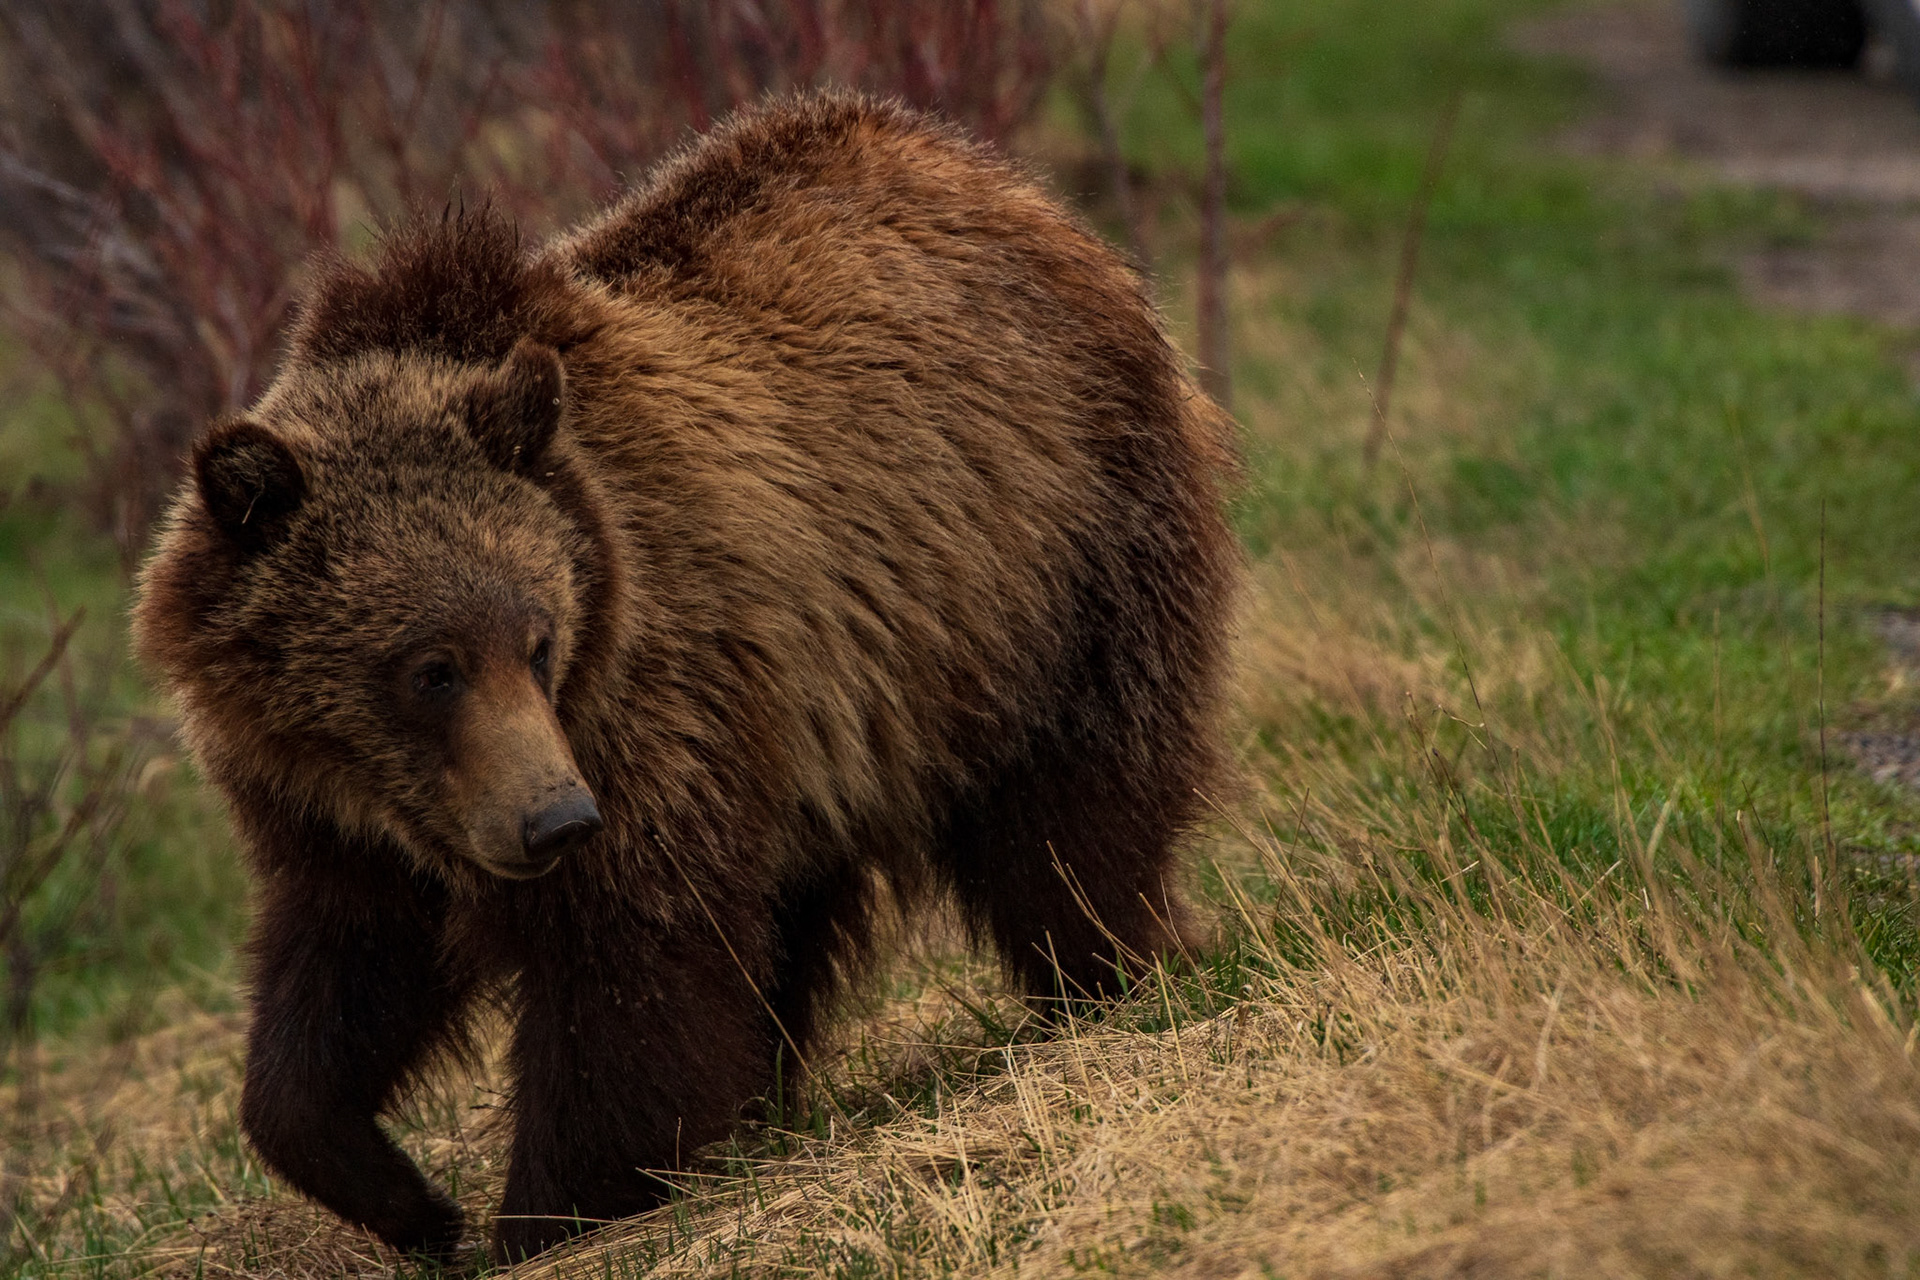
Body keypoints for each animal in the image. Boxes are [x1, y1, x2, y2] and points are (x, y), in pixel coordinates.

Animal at [132, 92, 1241, 1262]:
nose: (555, 819)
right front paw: (412, 1203)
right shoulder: (339, 817)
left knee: (1072, 810)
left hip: (1047, 559)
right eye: (430, 667)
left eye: (537, 640)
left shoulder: (651, 699)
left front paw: (548, 1212)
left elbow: (632, 975)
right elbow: (337, 992)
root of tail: (1007, 186)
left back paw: (1111, 972)